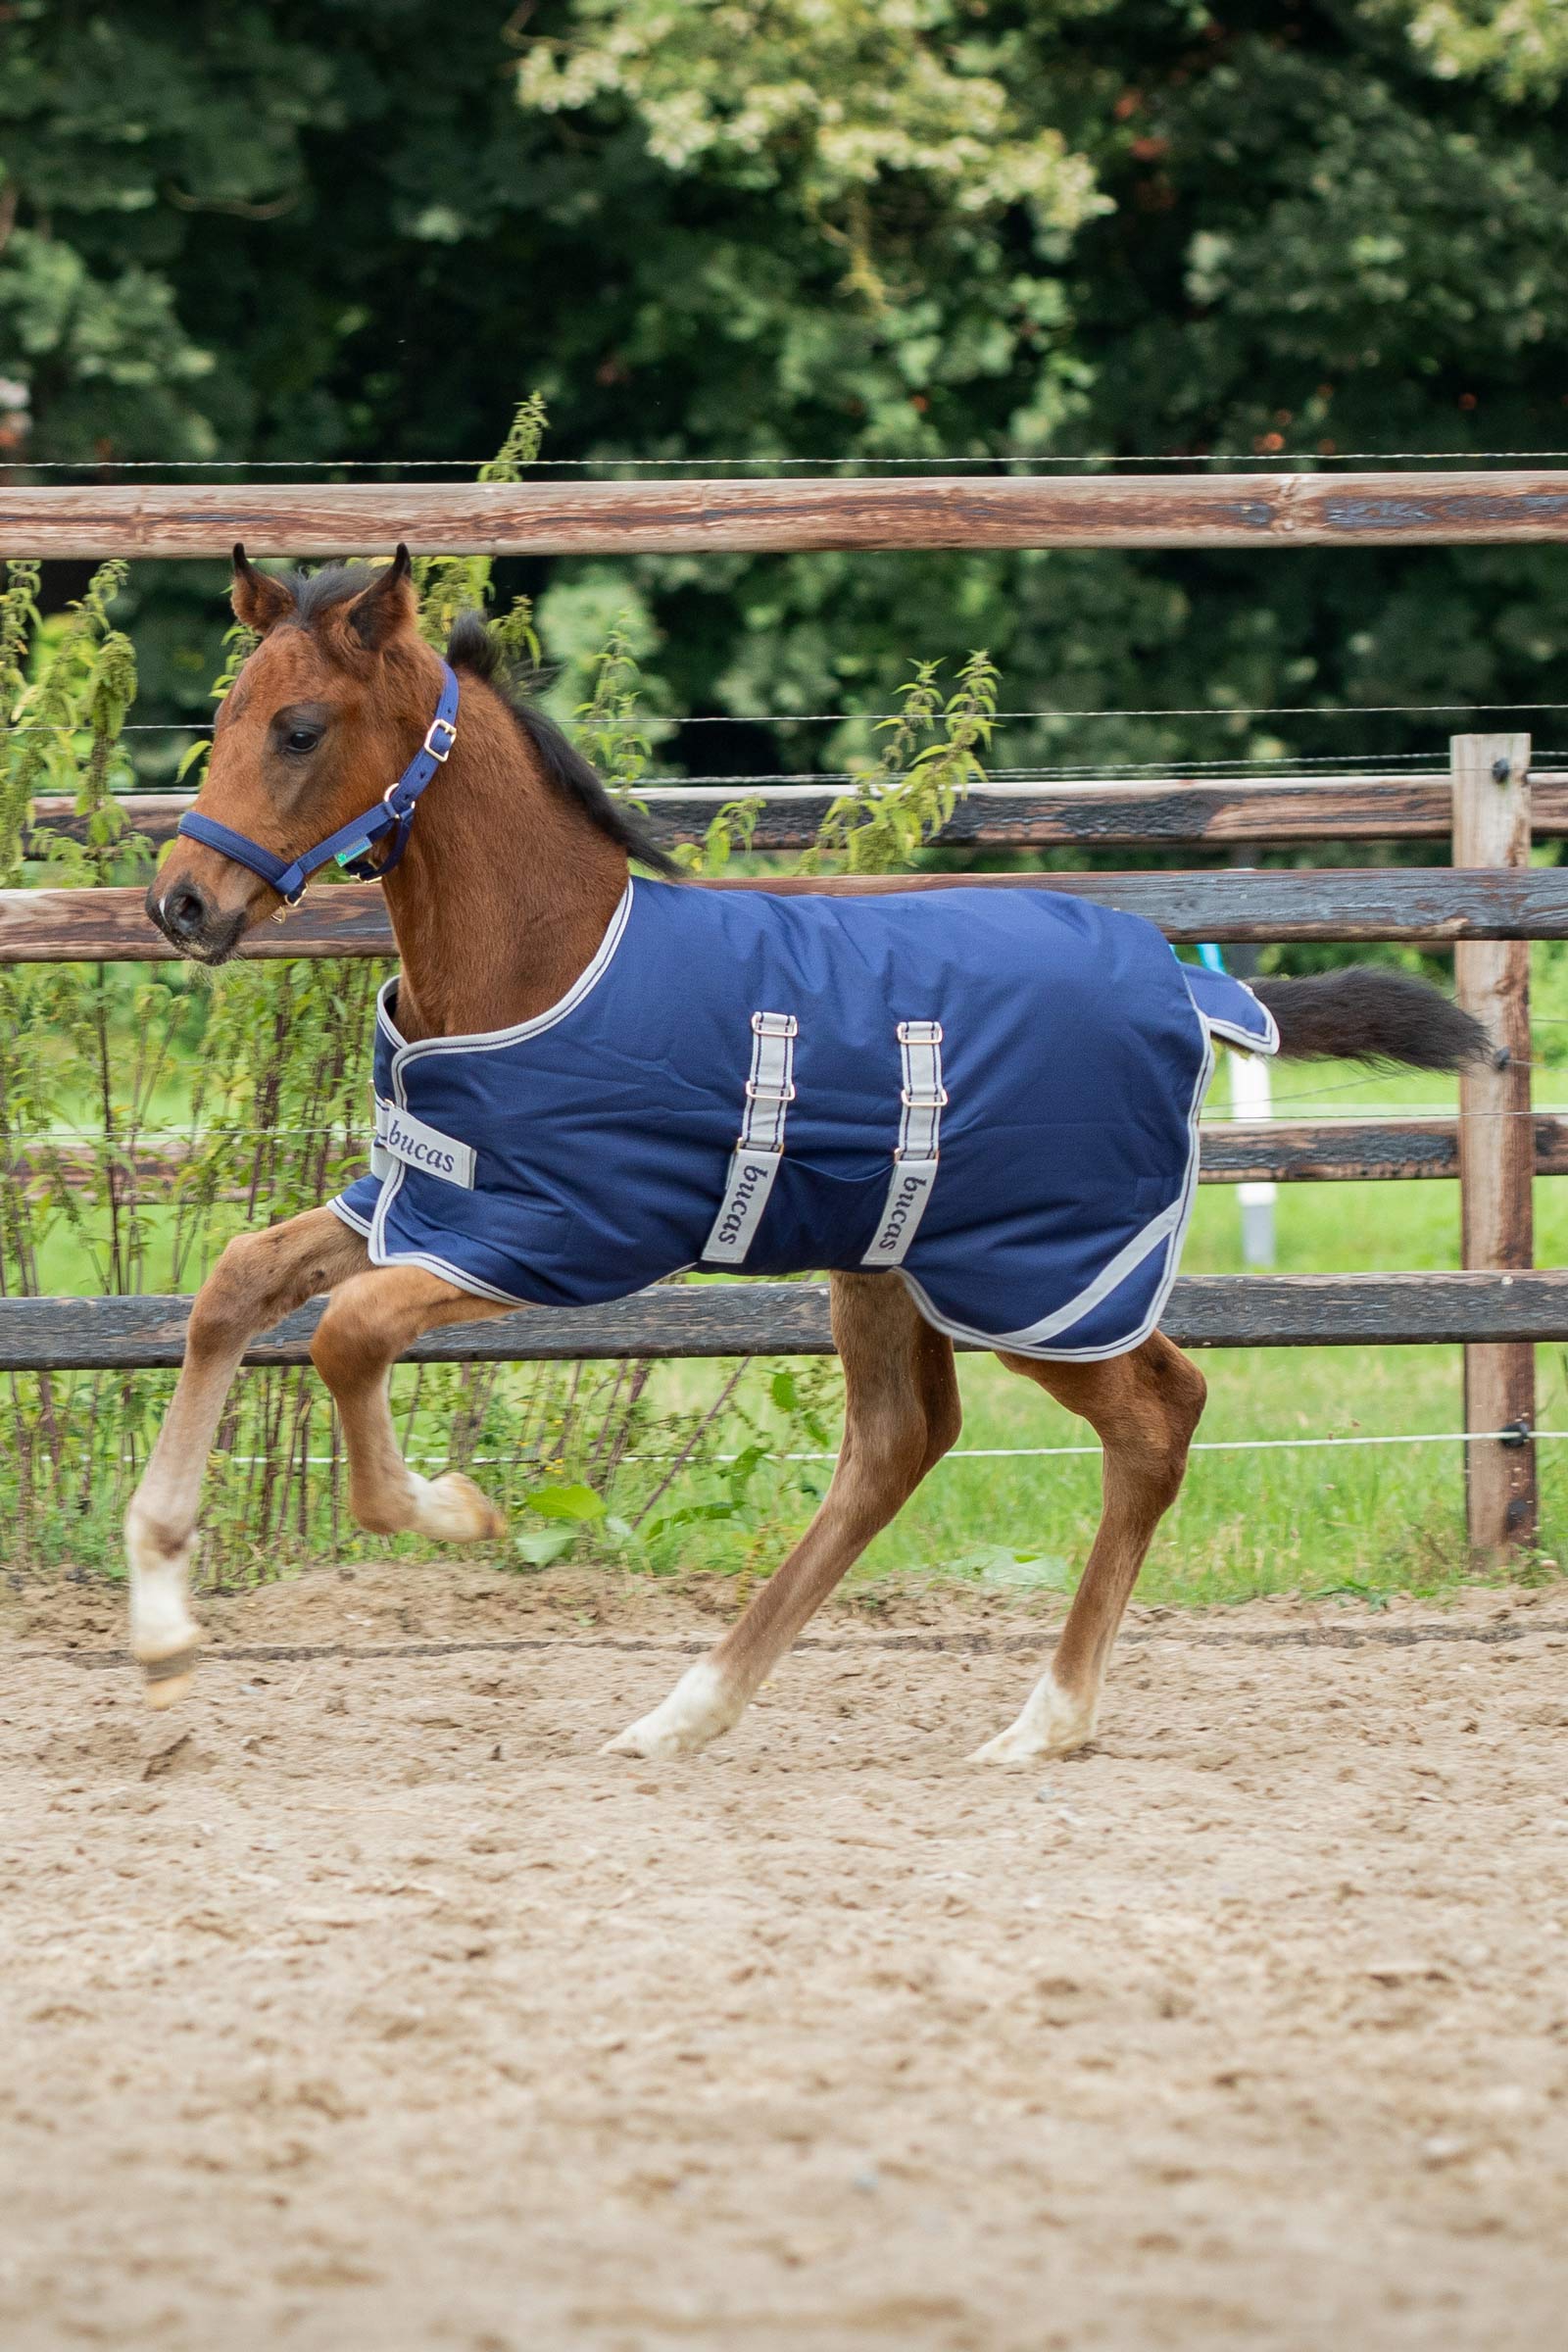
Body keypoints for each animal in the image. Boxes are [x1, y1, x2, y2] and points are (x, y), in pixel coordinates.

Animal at [130, 548, 1488, 1762]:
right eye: (227, 718)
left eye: (300, 729)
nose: (182, 904)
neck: (544, 955)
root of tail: (1189, 988)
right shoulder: (417, 1199)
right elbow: (237, 1283)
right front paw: (159, 1622)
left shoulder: (556, 1235)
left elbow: (351, 1333)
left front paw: (454, 1508)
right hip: (891, 1262)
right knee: (898, 1445)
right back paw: (685, 1714)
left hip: (1041, 1283)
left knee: (1157, 1416)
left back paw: (1042, 1723)